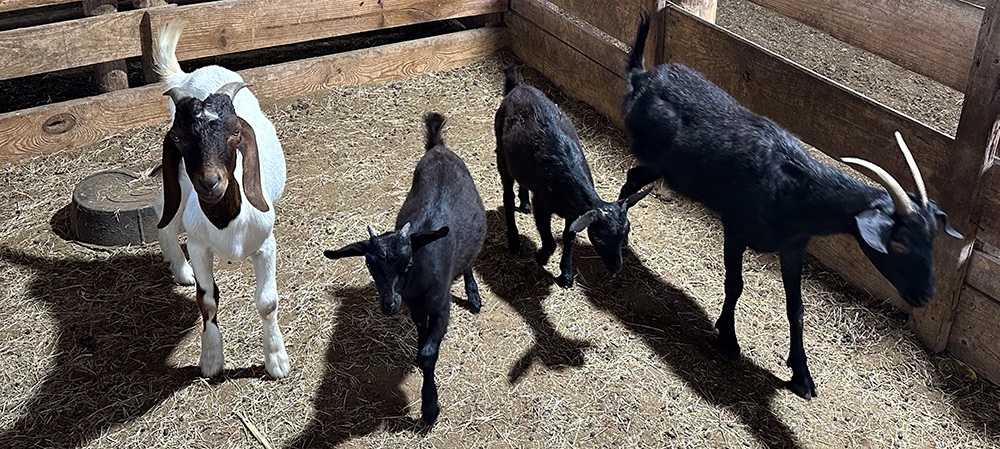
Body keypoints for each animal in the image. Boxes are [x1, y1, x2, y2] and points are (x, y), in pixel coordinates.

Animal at [153, 20, 290, 379]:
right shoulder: (200, 247)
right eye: (179, 138)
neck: (227, 222)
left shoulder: (266, 244)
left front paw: (277, 360)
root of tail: (194, 73)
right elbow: (208, 300)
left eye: (234, 132)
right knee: (162, 209)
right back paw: (181, 269)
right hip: (180, 184)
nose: (210, 182)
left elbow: (267, 301)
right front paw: (212, 359)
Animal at [324, 112, 486, 425]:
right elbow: (422, 341)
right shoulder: (415, 308)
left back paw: (473, 296)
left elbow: (428, 354)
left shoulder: (441, 307)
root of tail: (437, 147)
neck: (418, 284)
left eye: (408, 263)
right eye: (370, 265)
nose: (388, 304)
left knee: (468, 261)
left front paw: (430, 408)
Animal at [495, 67, 652, 288]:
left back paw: (524, 205)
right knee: (507, 196)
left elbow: (568, 237)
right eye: (599, 238)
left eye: (627, 231)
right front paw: (541, 257)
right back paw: (514, 241)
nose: (615, 267)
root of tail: (517, 88)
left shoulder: (574, 213)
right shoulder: (542, 204)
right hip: (501, 152)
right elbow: (550, 240)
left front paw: (566, 275)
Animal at [618, 16, 963, 399]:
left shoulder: (793, 246)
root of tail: (643, 77)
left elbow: (796, 308)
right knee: (630, 180)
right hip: (656, 160)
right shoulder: (735, 227)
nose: (925, 295)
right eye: (898, 242)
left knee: (633, 180)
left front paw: (802, 375)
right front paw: (728, 339)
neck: (793, 188)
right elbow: (735, 284)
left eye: (933, 238)